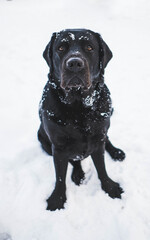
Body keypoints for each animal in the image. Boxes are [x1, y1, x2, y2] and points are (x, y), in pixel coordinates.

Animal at [37, 29, 125, 211]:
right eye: (61, 48)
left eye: (90, 48)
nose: (75, 64)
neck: (78, 108)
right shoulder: (58, 147)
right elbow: (60, 177)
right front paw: (57, 199)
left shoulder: (98, 139)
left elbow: (102, 168)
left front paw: (110, 187)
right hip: (43, 139)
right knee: (74, 161)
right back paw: (78, 174)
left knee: (107, 139)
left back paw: (116, 152)